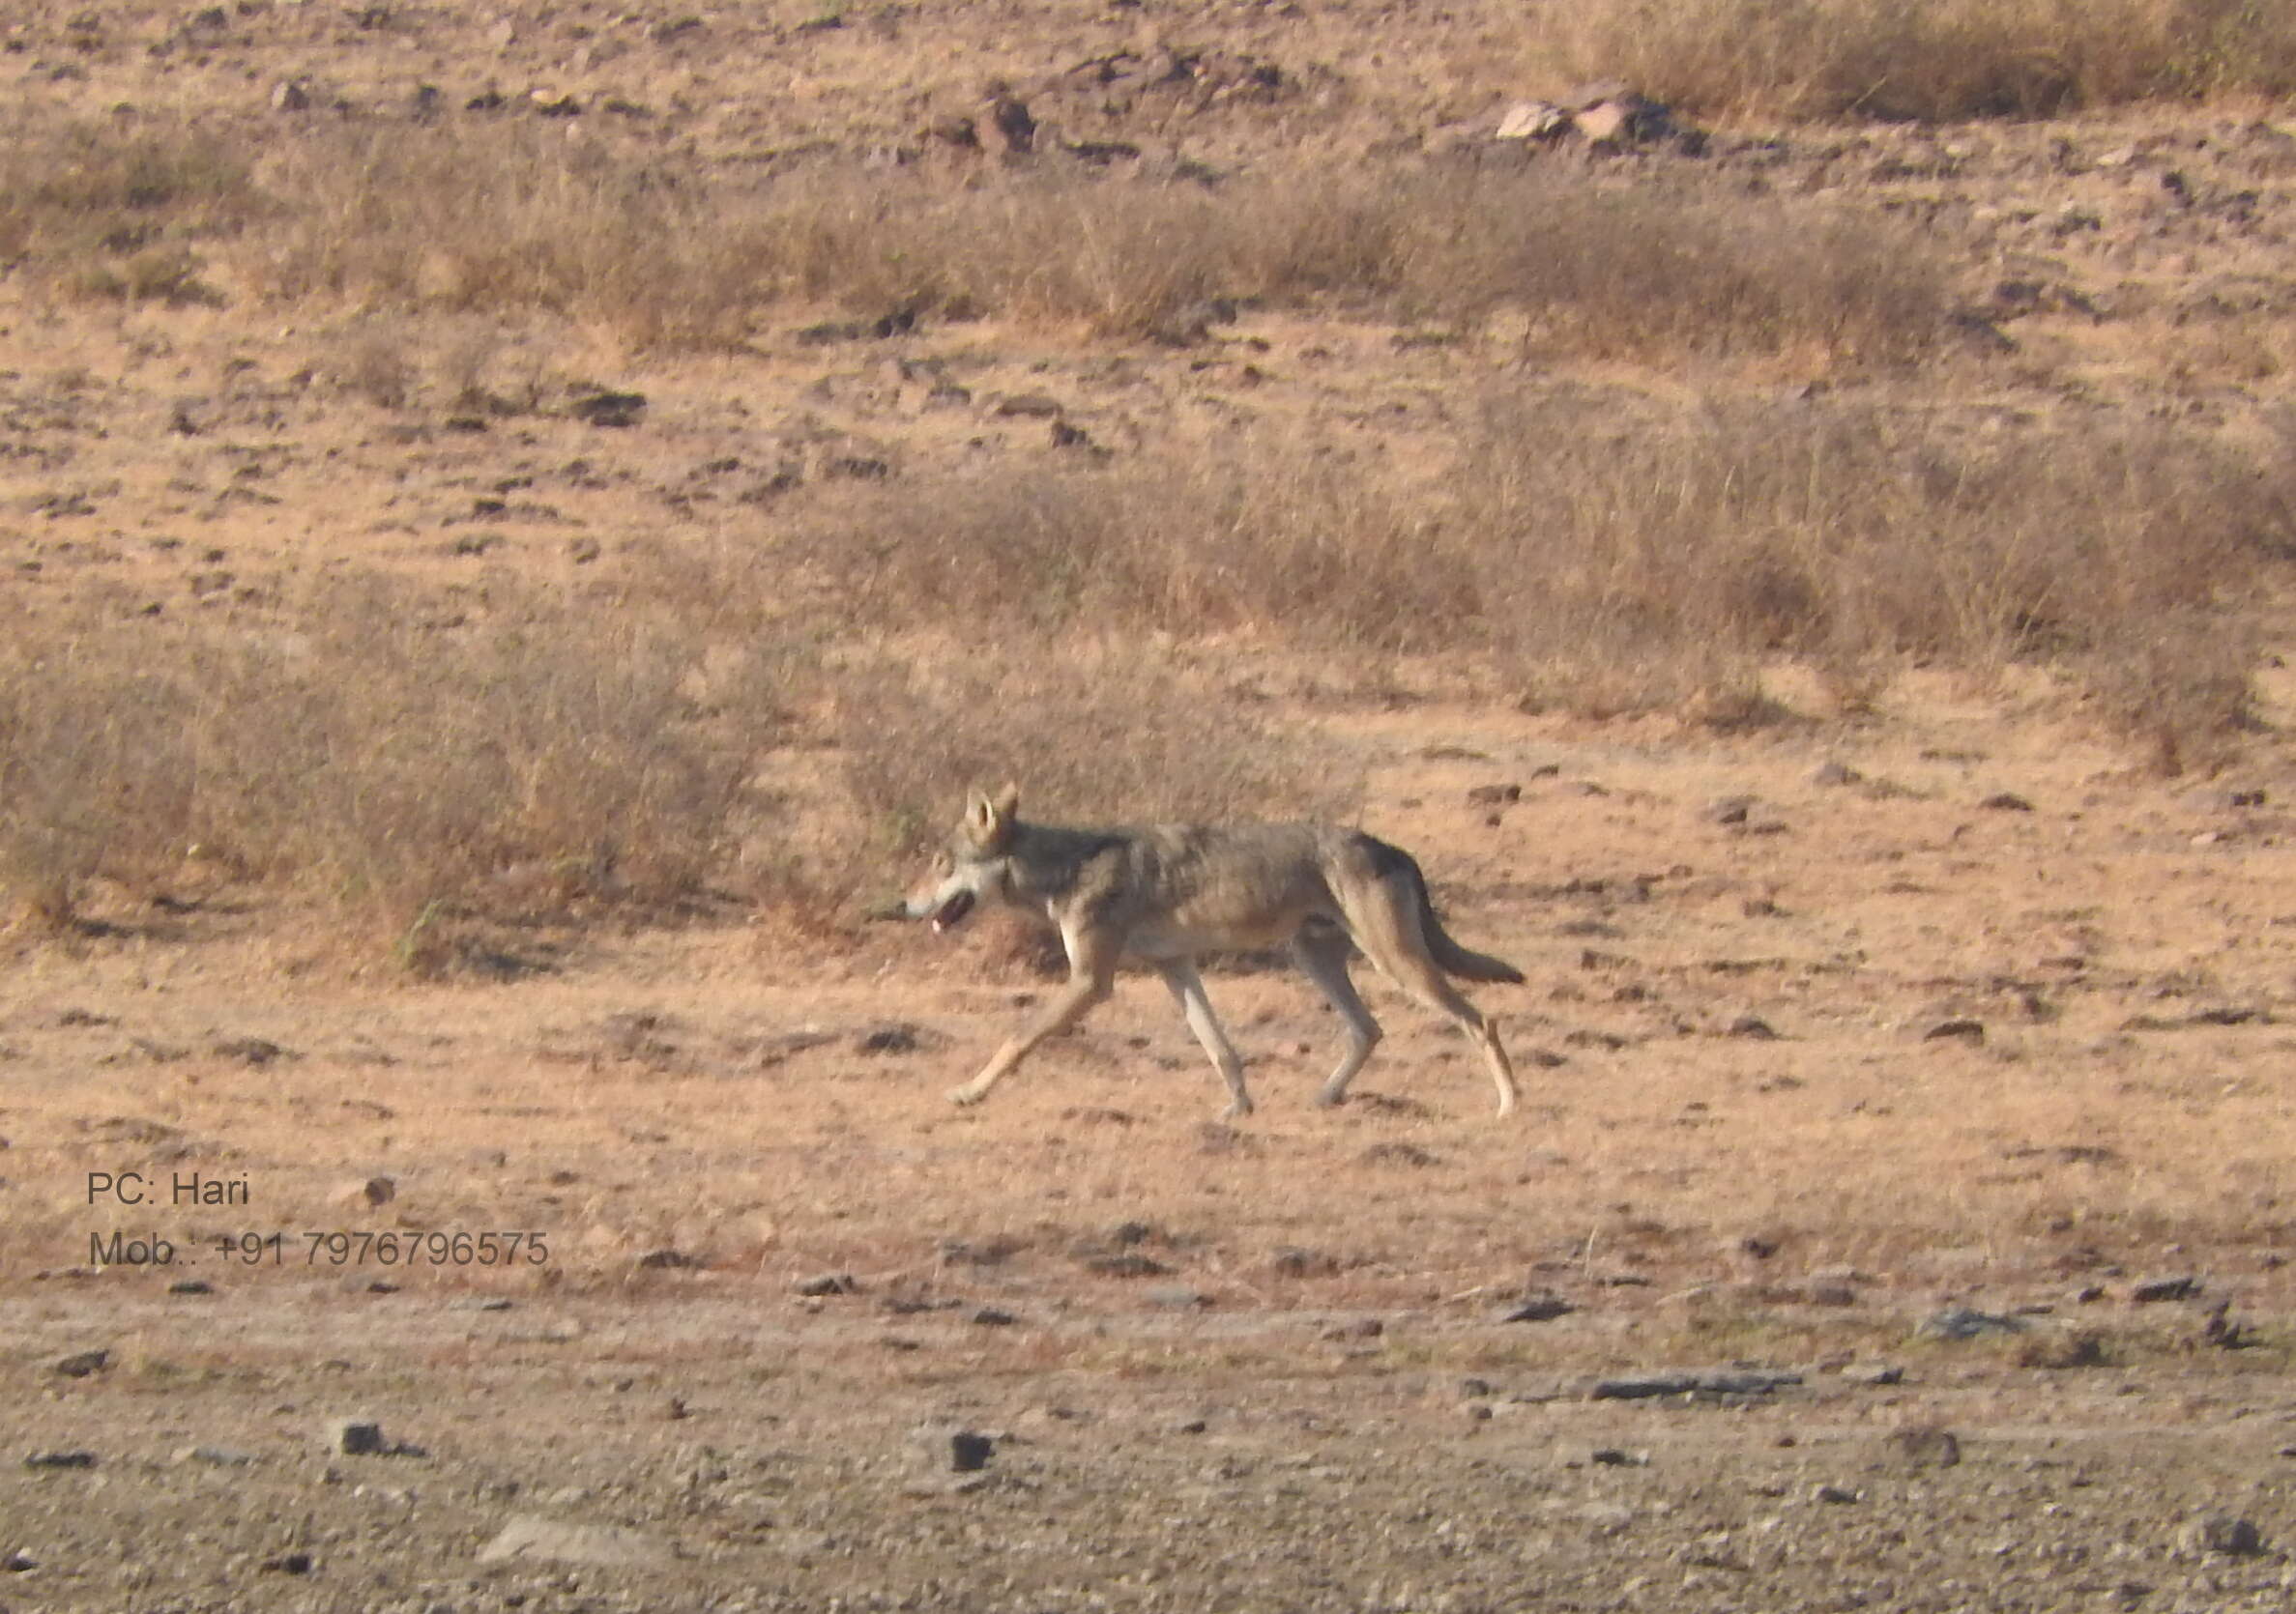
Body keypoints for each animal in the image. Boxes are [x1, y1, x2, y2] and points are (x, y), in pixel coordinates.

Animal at [895, 785, 1525, 1115]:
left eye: (942, 865)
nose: (902, 905)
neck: (1066, 867)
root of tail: (1390, 847)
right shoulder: (1175, 967)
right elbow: (1220, 1047)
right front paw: (1239, 1110)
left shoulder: (1090, 983)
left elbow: (1017, 1038)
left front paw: (969, 1091)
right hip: (1314, 959)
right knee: (1369, 1030)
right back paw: (1323, 1097)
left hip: (1397, 966)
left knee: (1481, 1021)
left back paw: (1510, 1104)